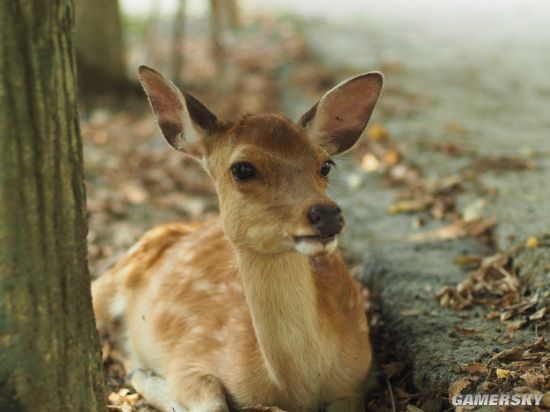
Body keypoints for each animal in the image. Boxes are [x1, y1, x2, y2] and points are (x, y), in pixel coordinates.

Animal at [92, 65, 384, 412]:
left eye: (326, 164)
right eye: (242, 168)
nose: (327, 214)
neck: (296, 387)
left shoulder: (356, 378)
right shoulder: (188, 357)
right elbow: (213, 403)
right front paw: (146, 376)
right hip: (116, 272)